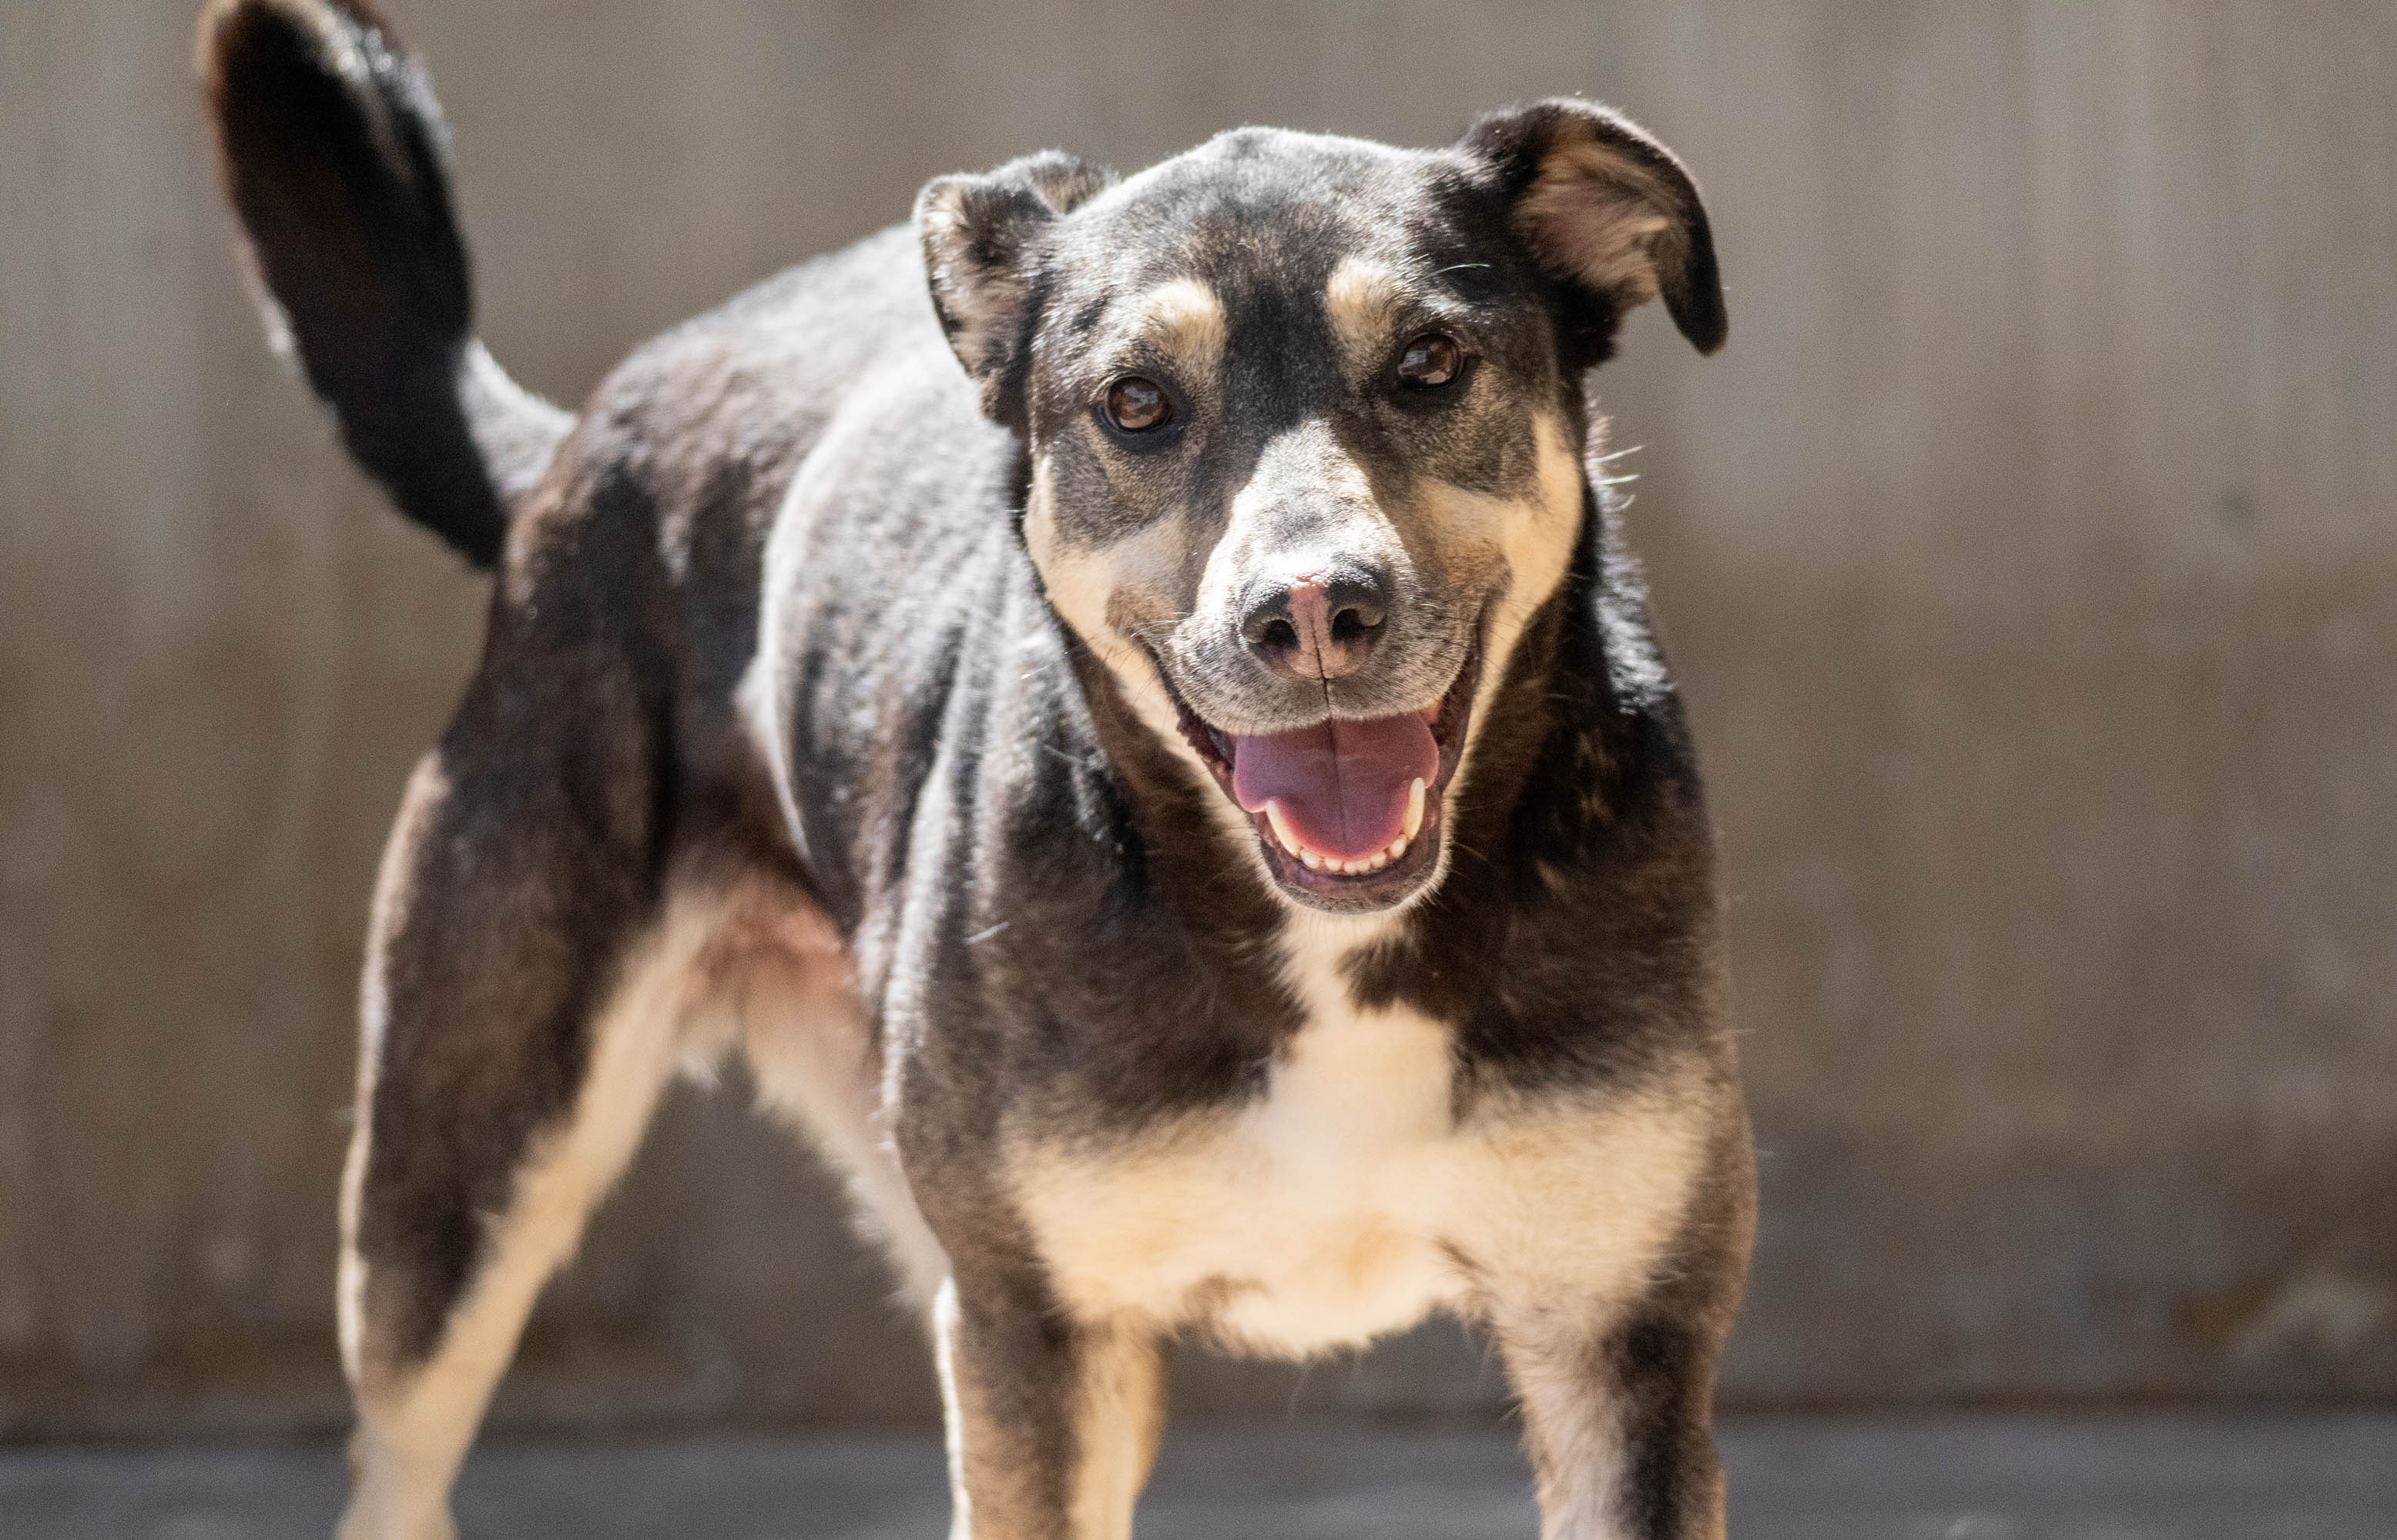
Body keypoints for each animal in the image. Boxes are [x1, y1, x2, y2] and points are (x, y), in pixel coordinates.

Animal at [196, 2, 1754, 1540]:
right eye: (1136, 402)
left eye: (1429, 363)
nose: (1312, 611)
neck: (1327, 950)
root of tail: (581, 439)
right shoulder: (1033, 1332)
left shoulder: (1619, 1339)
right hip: (456, 1186)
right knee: (398, 1461)